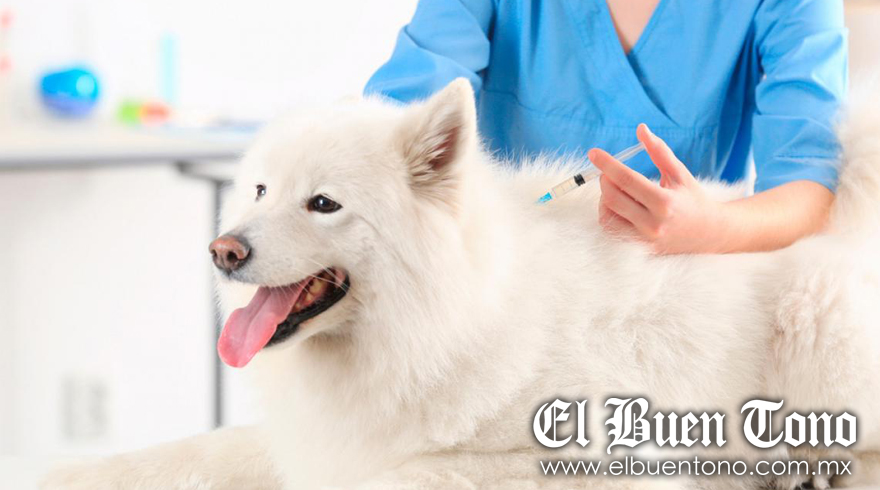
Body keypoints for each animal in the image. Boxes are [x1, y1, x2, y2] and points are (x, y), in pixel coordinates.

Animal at [42, 79, 880, 490]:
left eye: (323, 204)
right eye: (258, 191)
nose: (222, 252)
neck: (434, 325)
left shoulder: (559, 453)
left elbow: (407, 477)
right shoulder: (316, 440)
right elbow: (187, 451)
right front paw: (67, 471)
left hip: (817, 323)